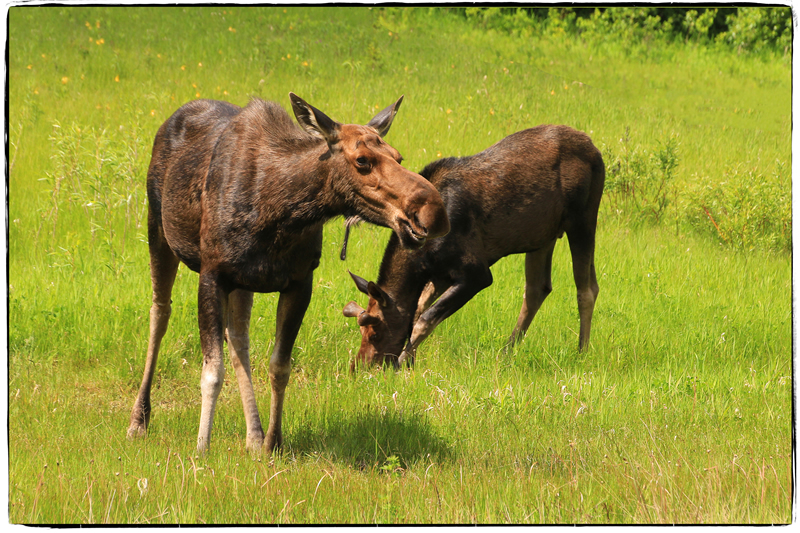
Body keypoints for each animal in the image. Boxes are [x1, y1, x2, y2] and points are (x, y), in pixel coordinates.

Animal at [127, 93, 450, 453]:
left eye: (398, 156)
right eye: (362, 160)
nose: (433, 211)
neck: (279, 216)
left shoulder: (298, 281)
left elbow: (279, 366)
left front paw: (272, 442)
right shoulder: (211, 273)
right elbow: (211, 371)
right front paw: (202, 449)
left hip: (241, 283)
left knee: (238, 338)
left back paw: (253, 435)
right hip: (158, 231)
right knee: (160, 313)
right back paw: (139, 420)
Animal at [342, 124, 604, 370]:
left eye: (376, 332)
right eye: (361, 332)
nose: (360, 366)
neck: (421, 258)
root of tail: (594, 147)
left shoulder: (476, 273)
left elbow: (424, 319)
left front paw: (403, 362)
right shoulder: (439, 275)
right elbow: (418, 311)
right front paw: (410, 361)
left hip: (582, 218)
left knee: (587, 288)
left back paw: (581, 351)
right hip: (541, 235)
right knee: (537, 288)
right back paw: (507, 351)